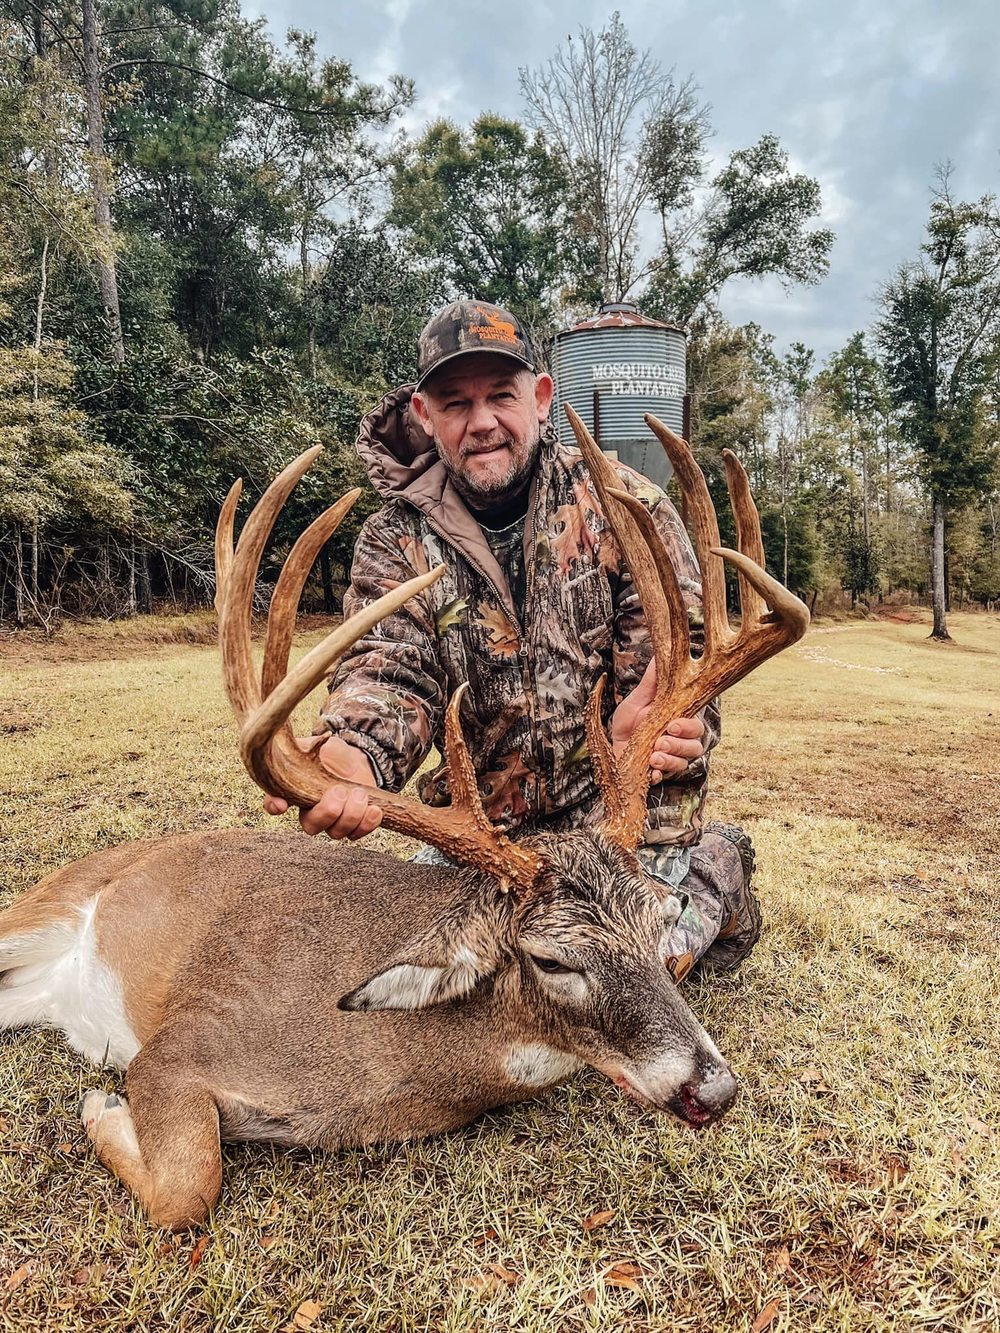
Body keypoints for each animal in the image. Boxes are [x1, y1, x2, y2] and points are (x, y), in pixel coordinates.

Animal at [0, 409, 809, 1230]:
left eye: (659, 925)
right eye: (552, 960)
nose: (714, 1089)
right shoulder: (176, 1048)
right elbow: (187, 1189)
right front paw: (100, 1106)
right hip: (41, 904)